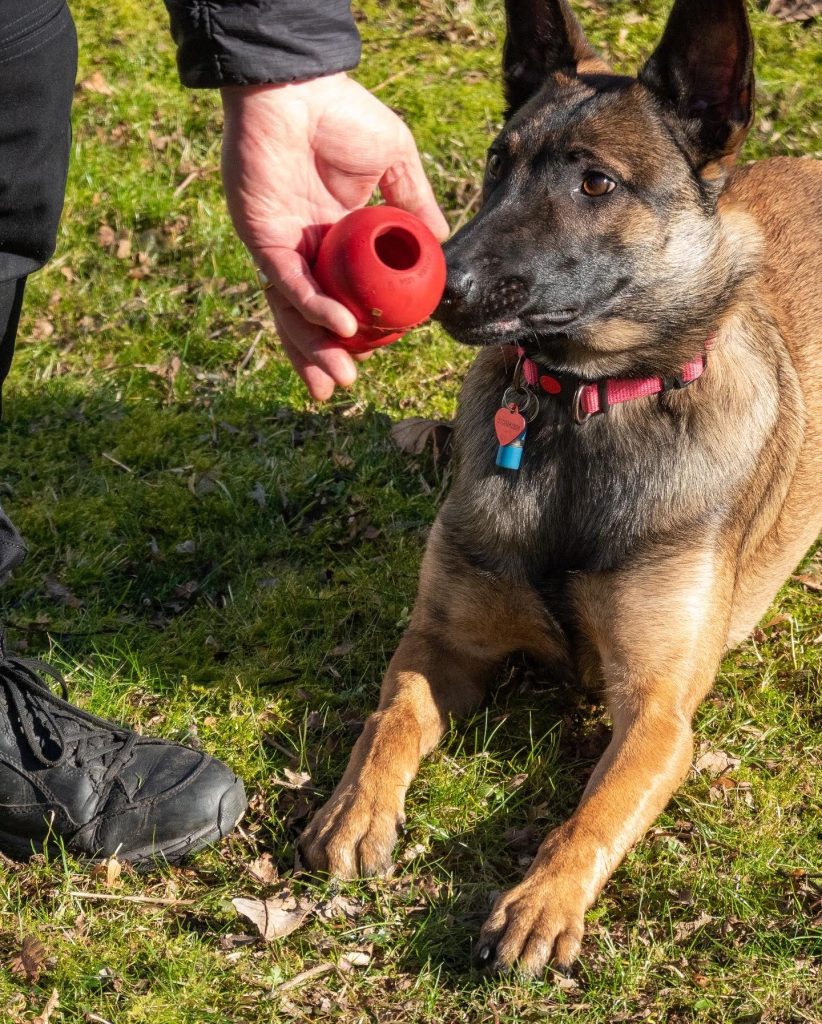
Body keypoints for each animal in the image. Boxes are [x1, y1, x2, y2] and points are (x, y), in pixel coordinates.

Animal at [298, 0, 818, 974]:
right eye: (497, 162)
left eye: (596, 183)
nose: (443, 281)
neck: (584, 410)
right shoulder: (442, 641)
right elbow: (390, 718)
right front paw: (353, 810)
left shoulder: (658, 713)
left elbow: (593, 813)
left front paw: (541, 901)